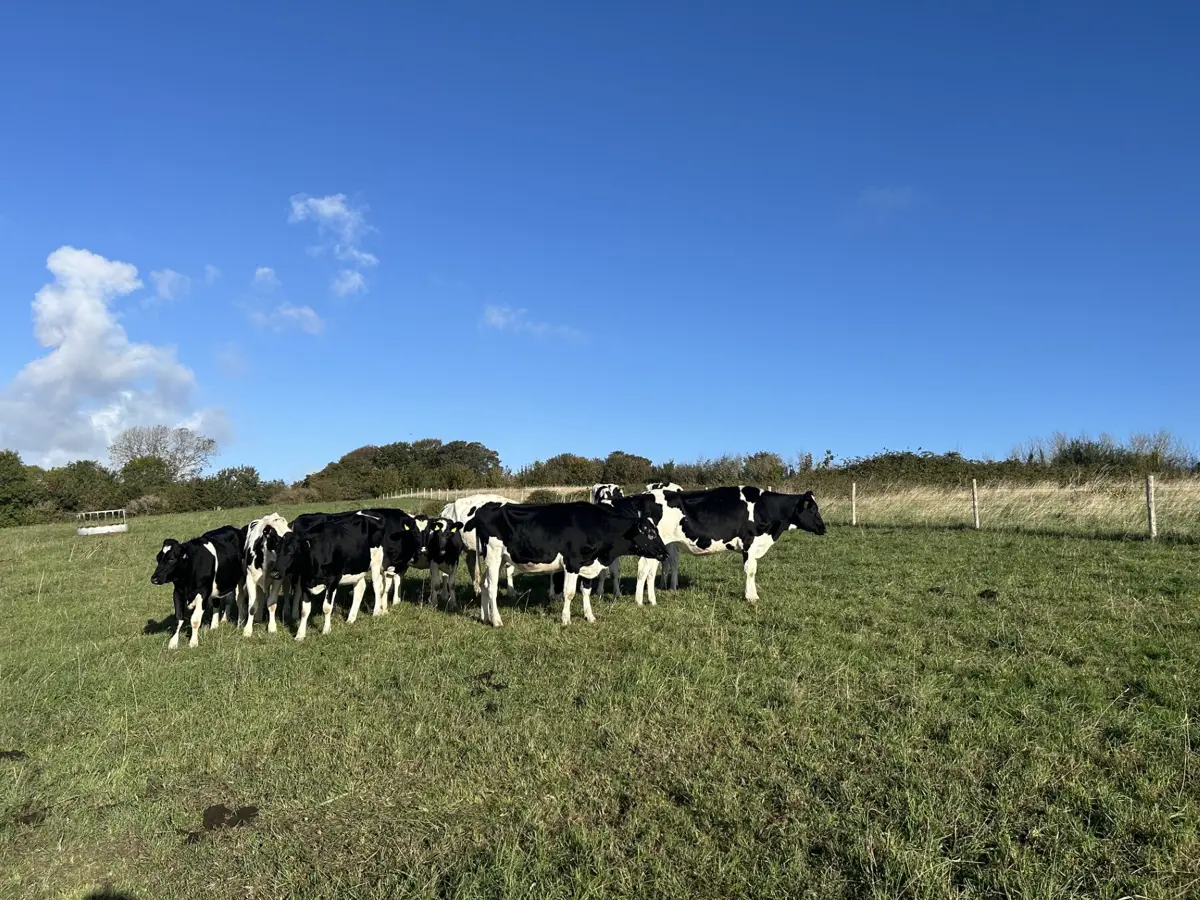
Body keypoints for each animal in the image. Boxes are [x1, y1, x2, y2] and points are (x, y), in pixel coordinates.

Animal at [467, 501, 671, 627]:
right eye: (650, 533)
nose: (665, 553)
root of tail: (483, 508)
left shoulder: (587, 564)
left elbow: (586, 591)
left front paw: (590, 616)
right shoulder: (572, 563)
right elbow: (570, 593)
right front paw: (566, 619)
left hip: (499, 559)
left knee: (484, 584)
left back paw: (485, 617)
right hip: (493, 556)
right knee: (492, 588)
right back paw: (496, 620)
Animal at [633, 486, 826, 606]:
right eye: (812, 510)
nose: (824, 528)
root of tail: (646, 494)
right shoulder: (750, 543)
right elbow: (751, 570)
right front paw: (751, 597)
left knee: (650, 570)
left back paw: (650, 600)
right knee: (643, 568)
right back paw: (640, 602)